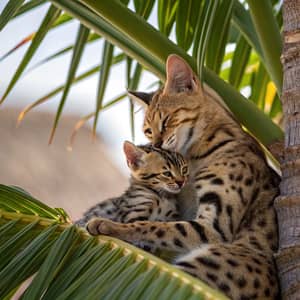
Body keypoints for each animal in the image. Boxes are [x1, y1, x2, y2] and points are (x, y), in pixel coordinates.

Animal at [88, 55, 280, 298]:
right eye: (148, 131)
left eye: (166, 121)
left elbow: (153, 226)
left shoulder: (214, 228)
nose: (156, 145)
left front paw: (107, 225)